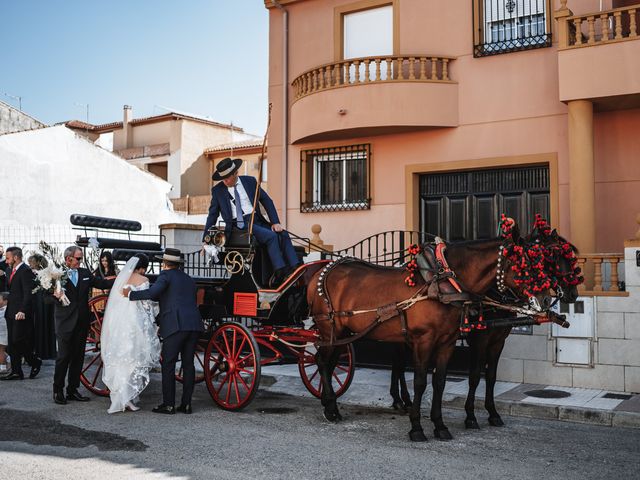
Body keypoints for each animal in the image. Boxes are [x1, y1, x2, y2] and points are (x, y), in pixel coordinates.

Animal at [308, 223, 552, 440]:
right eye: (525, 264)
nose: (546, 299)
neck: (446, 284)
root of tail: (320, 272)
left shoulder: (448, 342)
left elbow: (440, 382)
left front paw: (440, 425)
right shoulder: (425, 341)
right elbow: (421, 382)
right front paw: (417, 427)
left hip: (342, 334)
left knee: (330, 363)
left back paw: (329, 402)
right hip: (329, 329)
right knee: (322, 361)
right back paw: (332, 408)